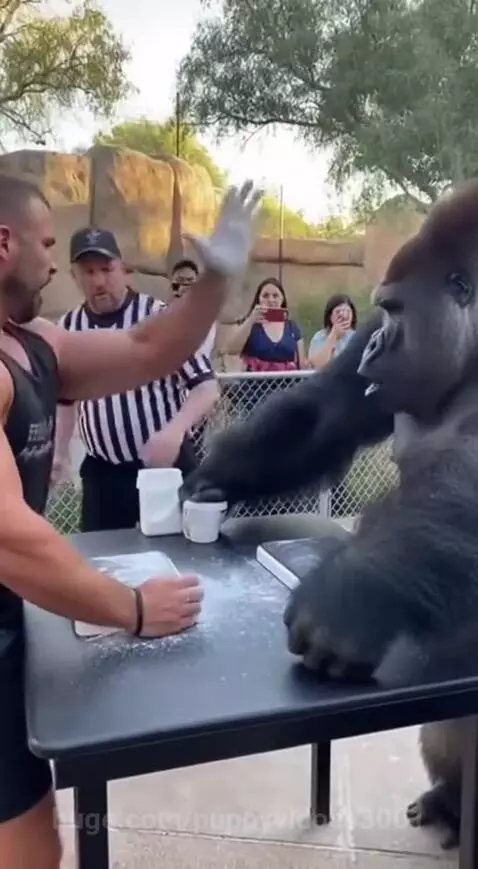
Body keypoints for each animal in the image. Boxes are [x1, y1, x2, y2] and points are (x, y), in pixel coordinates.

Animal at [179, 179, 478, 850]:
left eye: (396, 312)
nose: (373, 342)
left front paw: (353, 592)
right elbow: (329, 409)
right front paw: (216, 478)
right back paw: (449, 799)